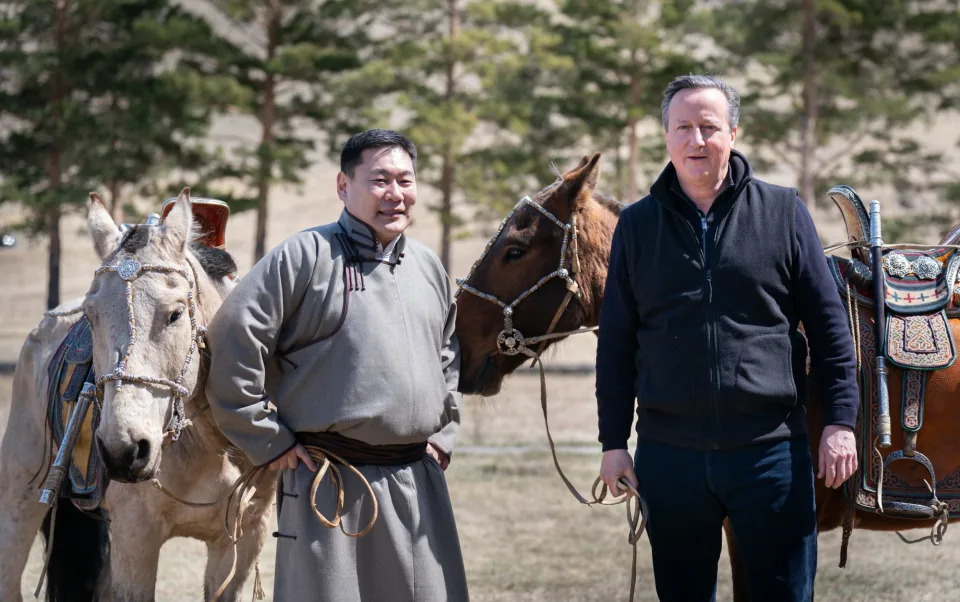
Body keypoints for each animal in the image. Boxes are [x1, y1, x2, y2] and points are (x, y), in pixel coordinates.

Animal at [0, 189, 278, 600]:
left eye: (175, 314)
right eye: (91, 315)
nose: (124, 449)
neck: (211, 443)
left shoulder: (241, 543)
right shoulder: (135, 537)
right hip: (19, 496)